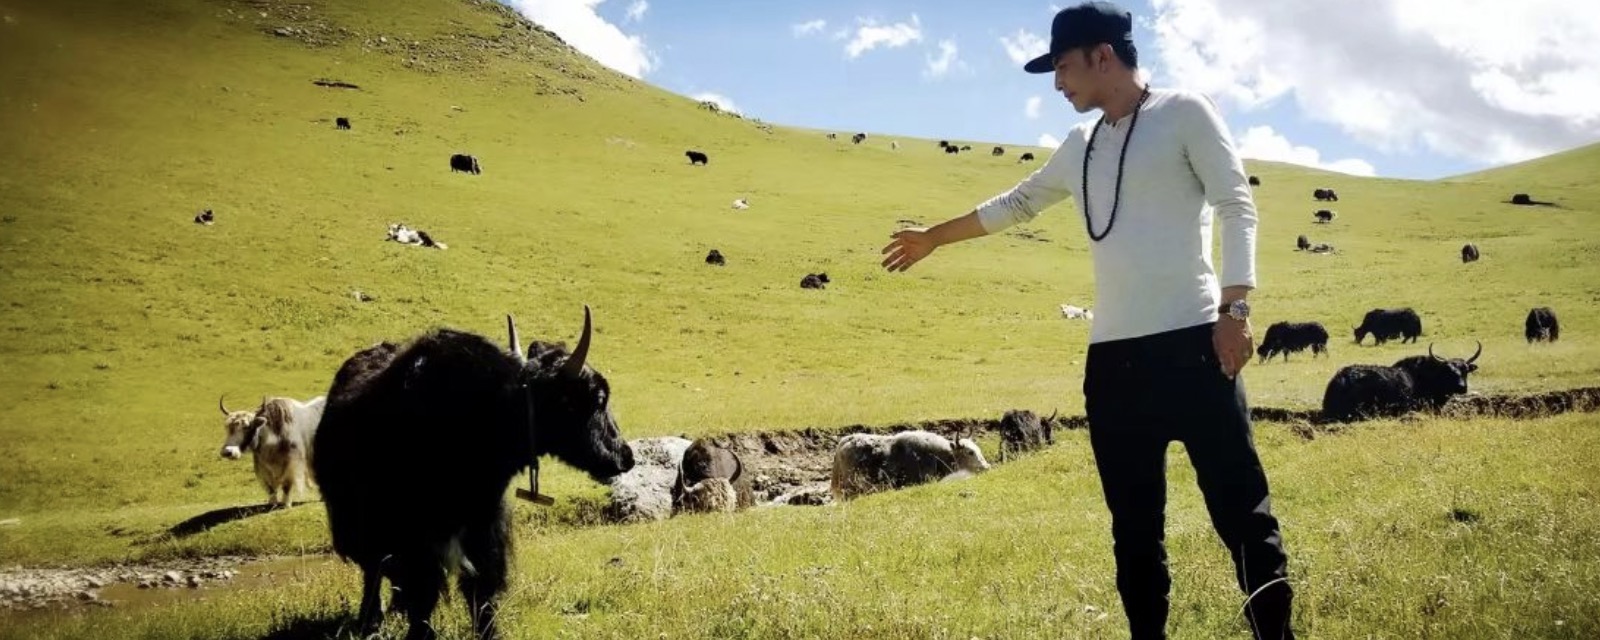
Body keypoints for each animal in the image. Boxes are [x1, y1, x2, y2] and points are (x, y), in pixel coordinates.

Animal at [311, 307, 636, 640]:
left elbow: (482, 594)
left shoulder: (485, 532)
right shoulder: (415, 543)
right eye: (598, 398)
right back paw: (369, 622)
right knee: (373, 574)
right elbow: (423, 599)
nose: (626, 456)